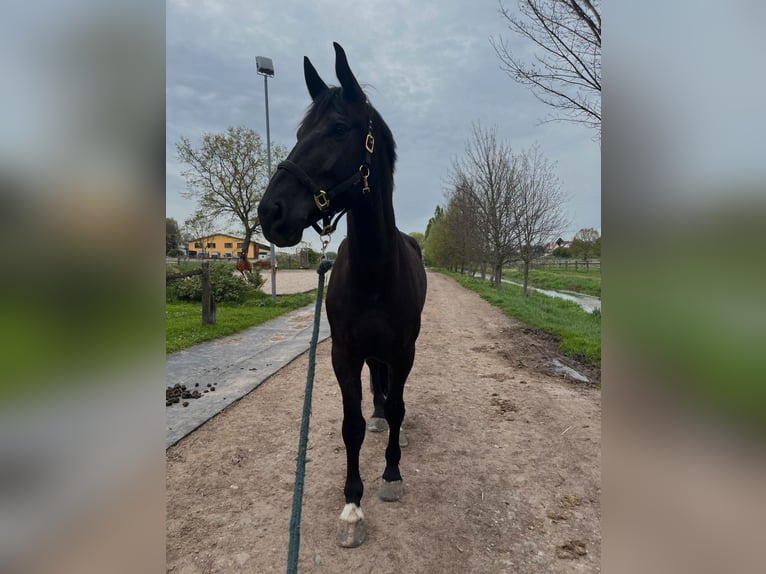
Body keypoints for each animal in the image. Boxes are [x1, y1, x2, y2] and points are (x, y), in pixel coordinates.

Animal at [256, 41, 426, 548]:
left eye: (338, 129)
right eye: (298, 132)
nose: (269, 212)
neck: (375, 274)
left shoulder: (404, 352)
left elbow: (401, 405)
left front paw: (391, 475)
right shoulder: (344, 354)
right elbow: (352, 426)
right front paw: (352, 505)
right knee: (377, 390)